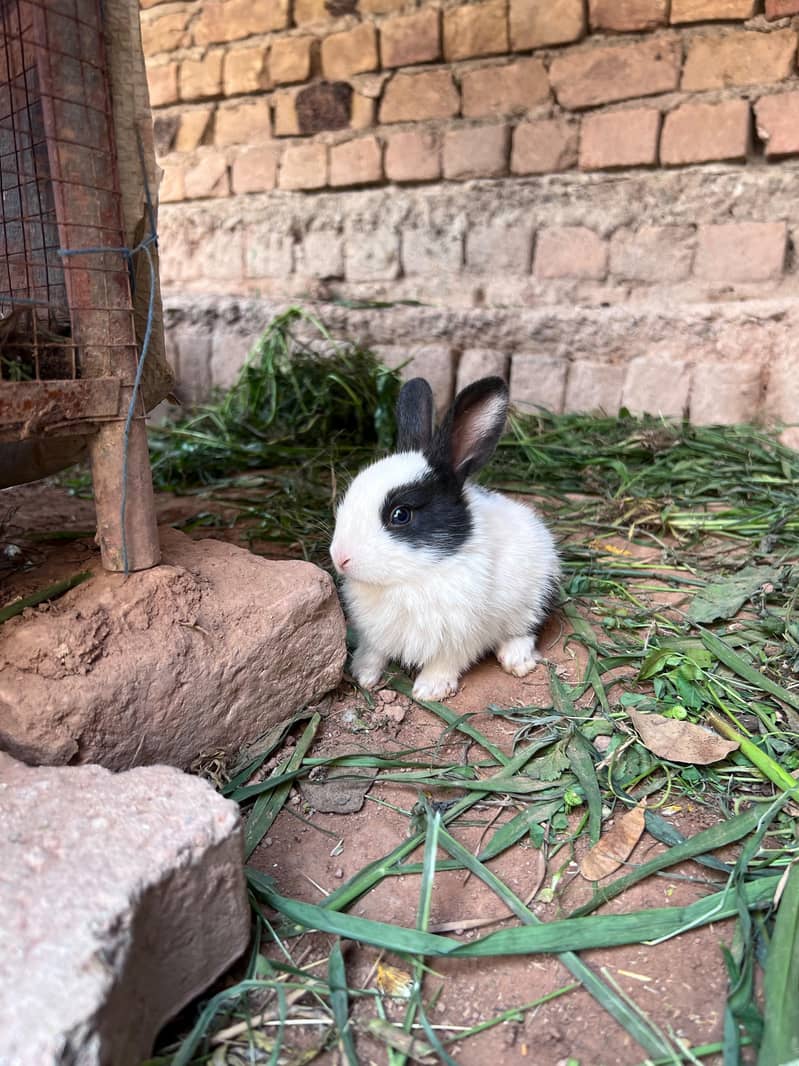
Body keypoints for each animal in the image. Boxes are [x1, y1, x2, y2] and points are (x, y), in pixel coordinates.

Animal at [329, 375, 560, 701]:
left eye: (400, 515)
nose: (340, 557)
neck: (410, 579)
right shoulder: (374, 632)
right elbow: (374, 651)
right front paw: (363, 674)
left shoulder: (461, 636)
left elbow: (446, 661)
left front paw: (429, 689)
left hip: (536, 596)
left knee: (526, 630)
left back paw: (516, 660)